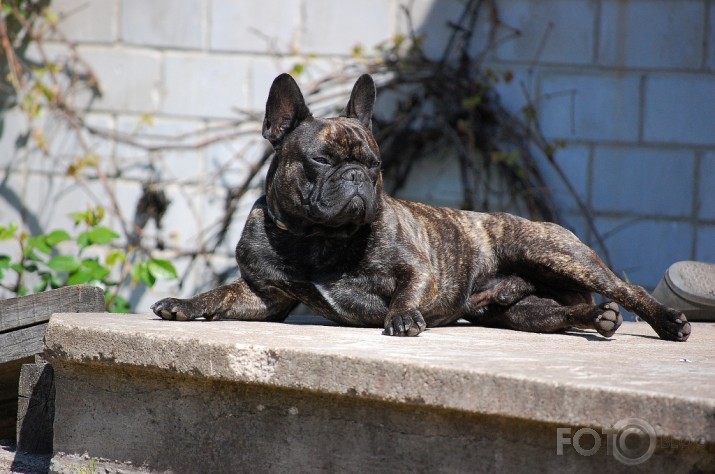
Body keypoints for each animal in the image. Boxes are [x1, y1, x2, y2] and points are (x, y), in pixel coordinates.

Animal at [152, 73, 692, 340]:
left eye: (375, 163)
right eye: (322, 160)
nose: (358, 177)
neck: (317, 240)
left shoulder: (419, 268)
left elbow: (406, 290)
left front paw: (402, 318)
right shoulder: (267, 297)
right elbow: (219, 295)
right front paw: (182, 304)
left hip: (557, 253)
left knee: (627, 289)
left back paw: (667, 322)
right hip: (518, 312)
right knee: (561, 313)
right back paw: (597, 319)